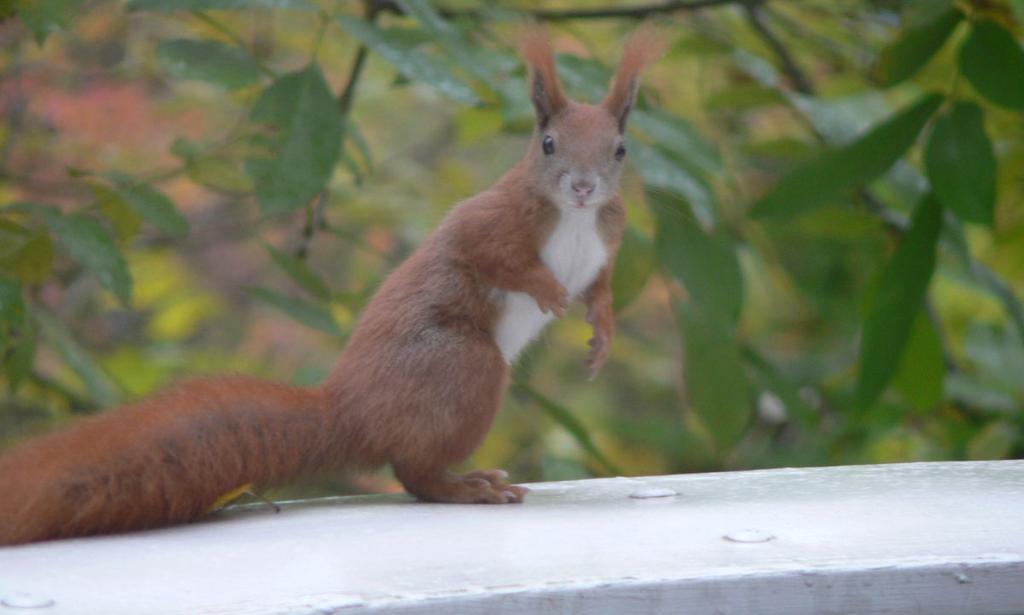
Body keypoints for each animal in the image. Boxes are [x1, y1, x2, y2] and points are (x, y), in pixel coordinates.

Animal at [0, 27, 663, 540]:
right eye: (547, 144)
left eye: (620, 150)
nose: (583, 186)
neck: (574, 218)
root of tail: (351, 410)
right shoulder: (492, 220)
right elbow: (488, 255)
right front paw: (549, 293)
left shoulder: (607, 242)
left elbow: (601, 289)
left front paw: (600, 333)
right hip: (461, 365)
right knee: (415, 475)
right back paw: (468, 486)